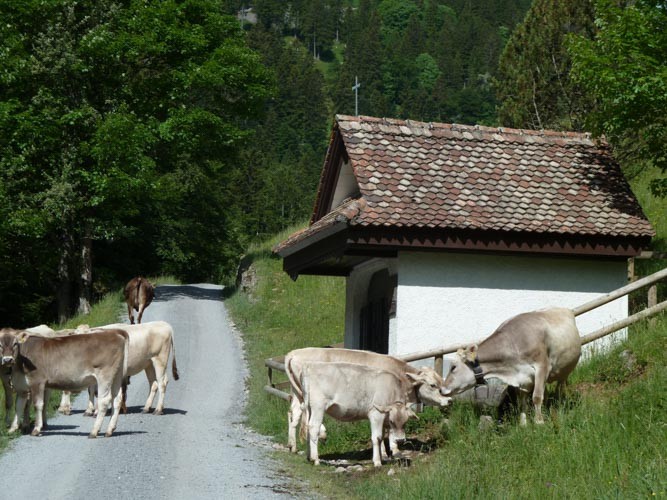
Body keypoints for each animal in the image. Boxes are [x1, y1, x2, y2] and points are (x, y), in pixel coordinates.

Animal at [284, 348, 452, 454]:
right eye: (433, 385)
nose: (449, 400)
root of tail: (292, 353)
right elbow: (385, 430)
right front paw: (391, 450)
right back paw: (320, 434)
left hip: (298, 394)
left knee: (294, 414)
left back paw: (292, 446)